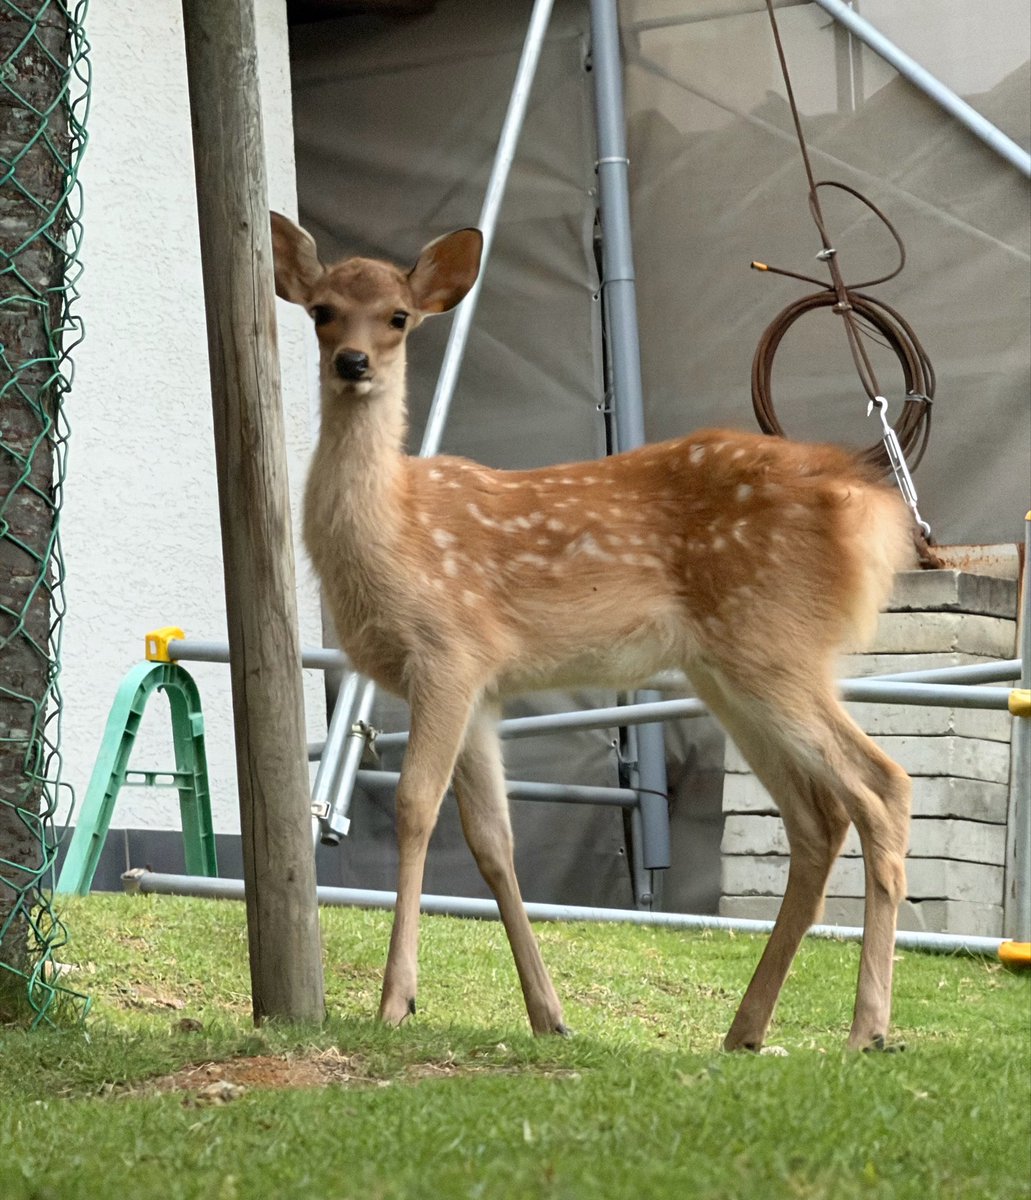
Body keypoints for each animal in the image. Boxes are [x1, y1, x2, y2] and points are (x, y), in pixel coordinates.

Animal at [270, 211, 917, 1052]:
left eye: (398, 317)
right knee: (817, 817)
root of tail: (874, 512)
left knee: (882, 786)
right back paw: (744, 1029)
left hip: (773, 646)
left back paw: (865, 1027)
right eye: (321, 311)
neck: (396, 532)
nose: (352, 363)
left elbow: (415, 807)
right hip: (728, 672)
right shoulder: (483, 688)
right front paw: (547, 1014)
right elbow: (492, 840)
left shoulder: (447, 653)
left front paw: (395, 1000)